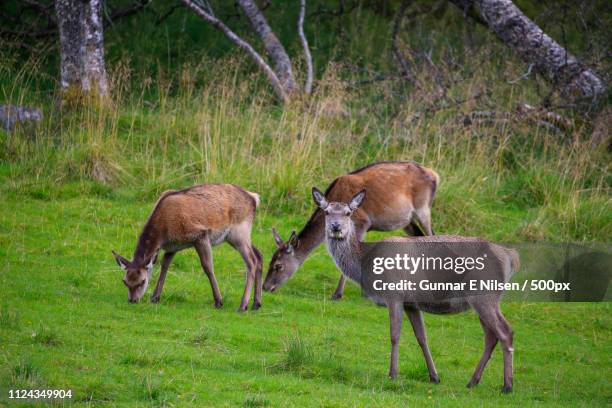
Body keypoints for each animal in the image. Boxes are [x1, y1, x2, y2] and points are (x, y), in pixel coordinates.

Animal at [112, 184, 262, 312]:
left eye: (142, 281)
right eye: (125, 281)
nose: (132, 300)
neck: (163, 232)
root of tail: (254, 198)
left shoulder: (200, 235)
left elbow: (208, 267)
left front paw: (219, 301)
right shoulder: (172, 247)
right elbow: (164, 266)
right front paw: (155, 297)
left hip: (239, 233)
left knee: (251, 261)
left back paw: (243, 305)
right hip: (235, 237)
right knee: (259, 255)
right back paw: (256, 303)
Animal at [262, 161, 440, 298]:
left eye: (278, 265)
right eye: (269, 261)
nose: (265, 287)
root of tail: (435, 175)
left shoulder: (362, 223)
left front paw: (338, 294)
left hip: (423, 208)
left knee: (433, 236)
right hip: (407, 221)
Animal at [314, 187, 520, 392]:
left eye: (348, 213)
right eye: (326, 212)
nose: (336, 227)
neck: (365, 263)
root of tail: (510, 257)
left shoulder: (394, 295)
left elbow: (394, 335)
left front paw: (392, 374)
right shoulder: (411, 304)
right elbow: (422, 337)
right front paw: (434, 376)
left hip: (484, 295)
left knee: (505, 332)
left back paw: (507, 385)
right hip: (483, 298)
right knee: (491, 337)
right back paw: (473, 381)